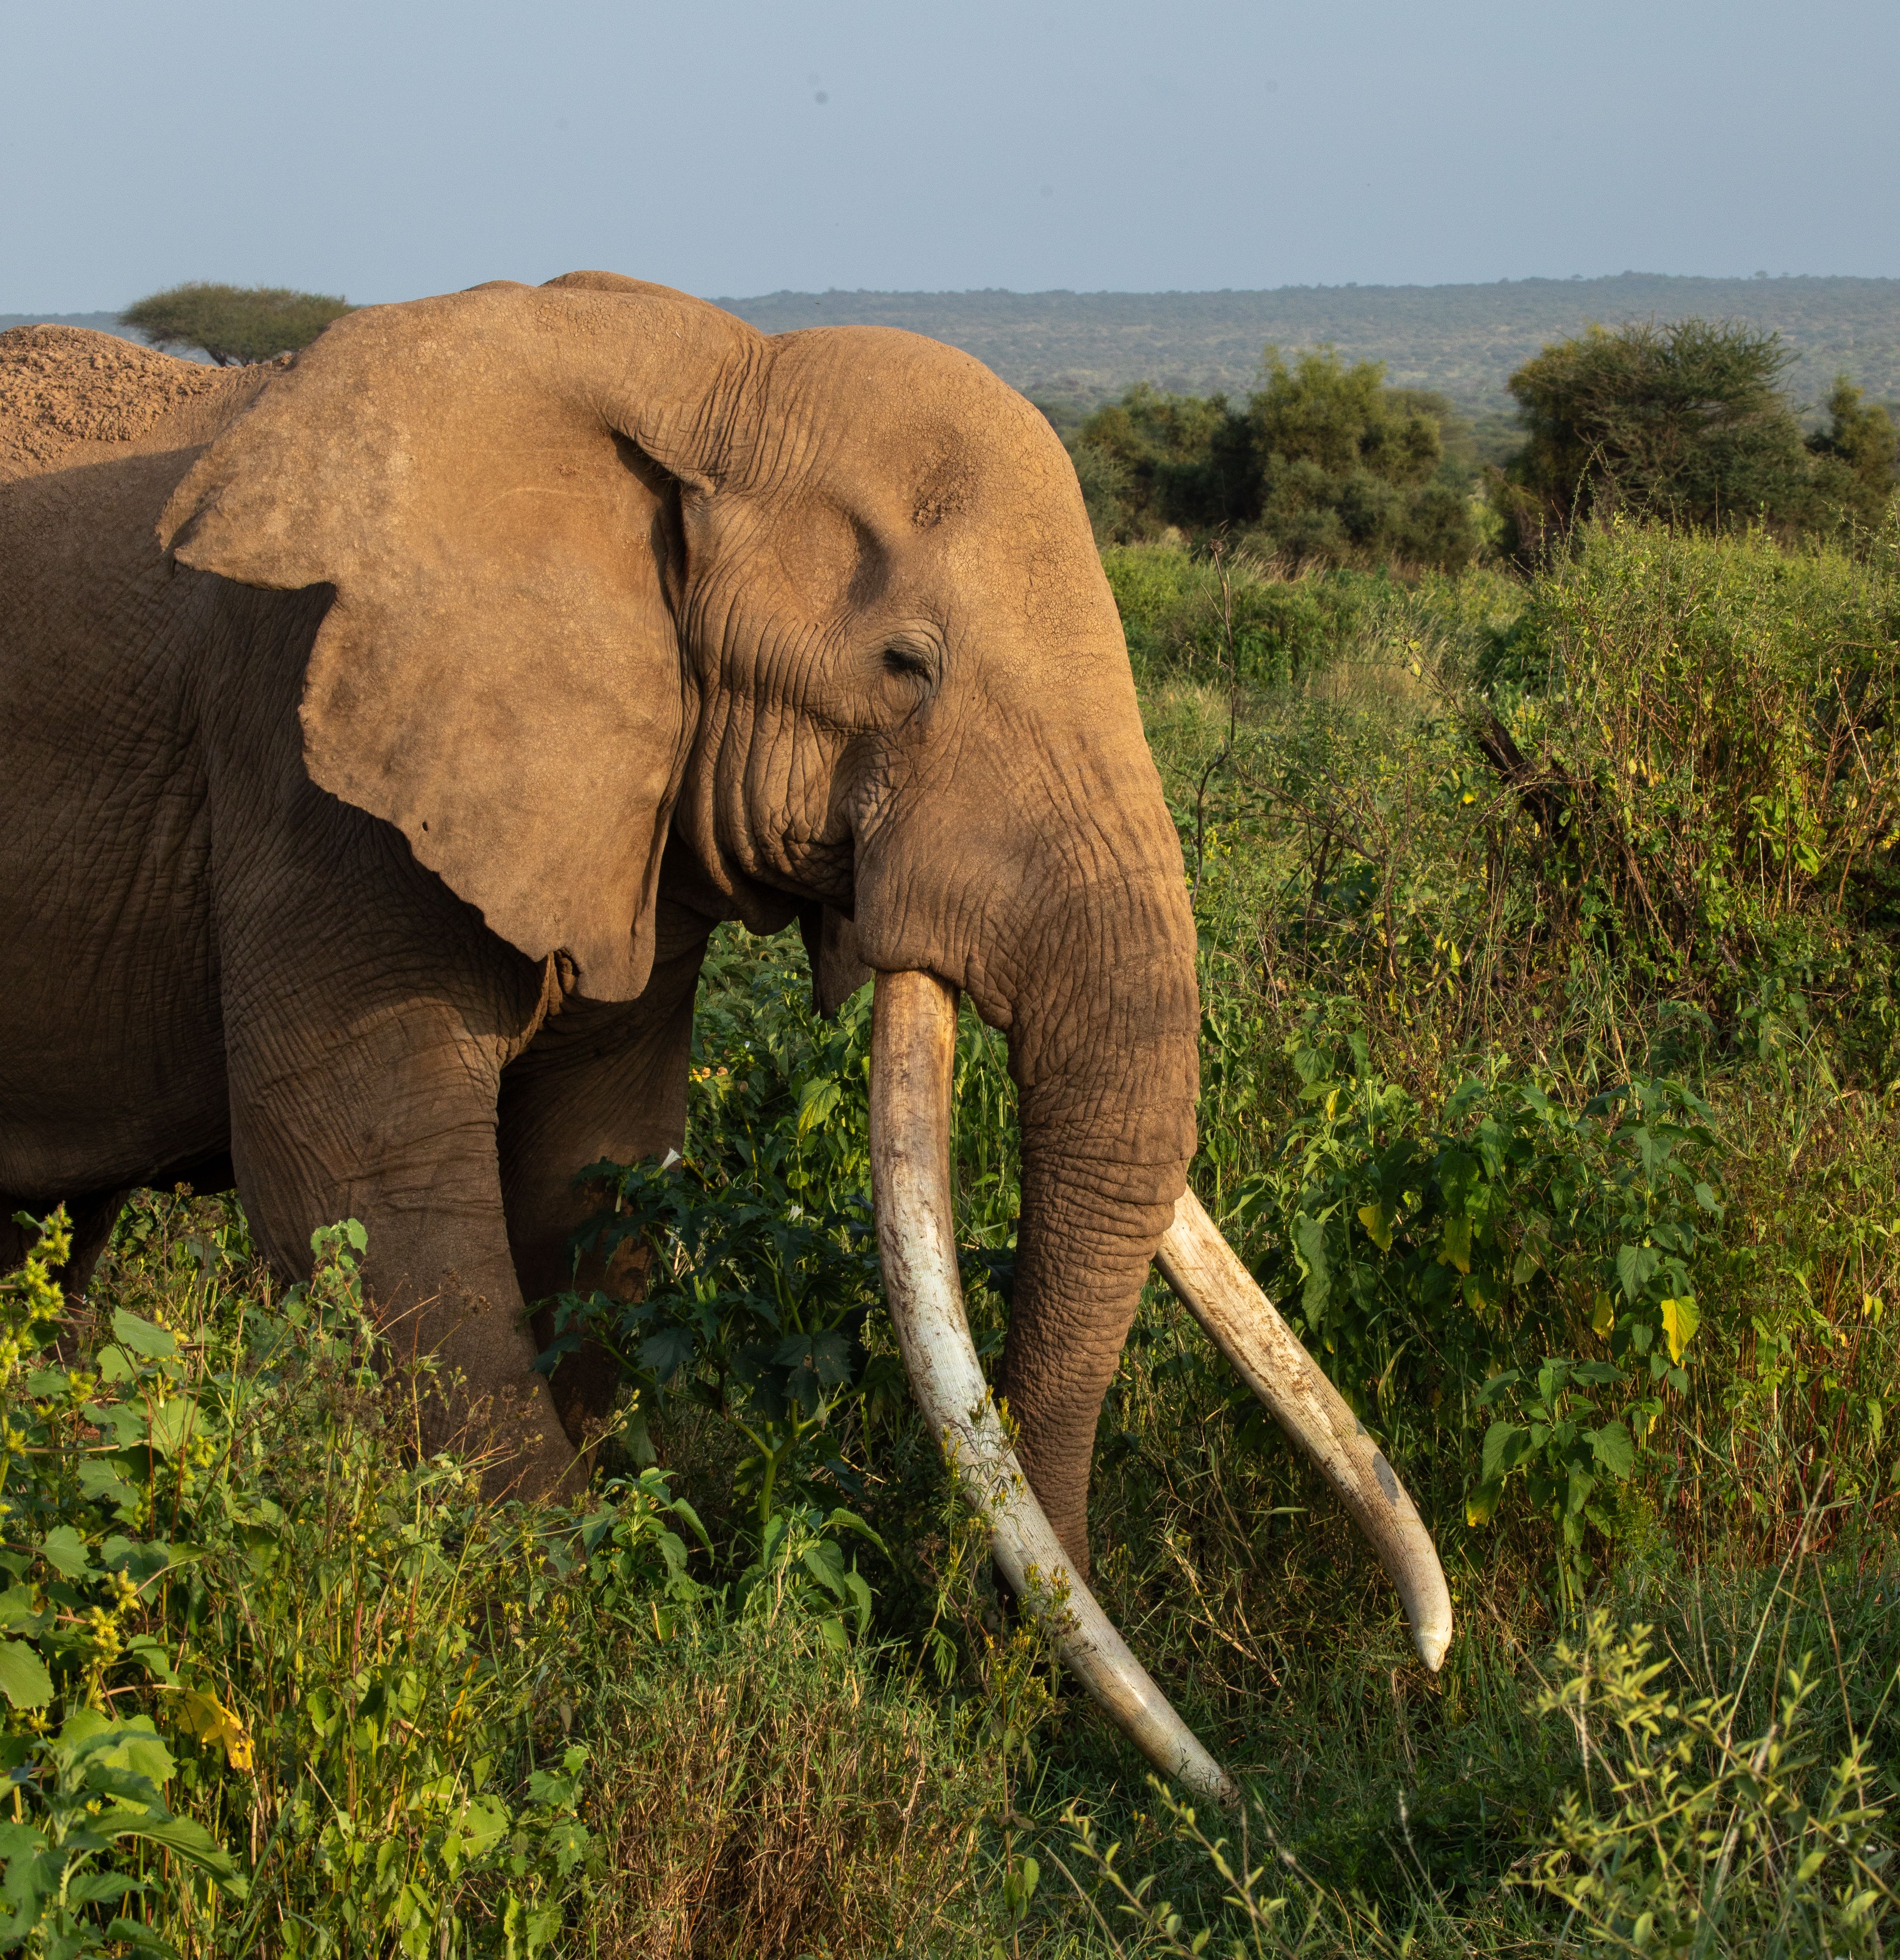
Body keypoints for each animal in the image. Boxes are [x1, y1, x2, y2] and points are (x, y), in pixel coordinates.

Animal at [0, 277, 1448, 1796]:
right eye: (903, 666)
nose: (1417, 1662)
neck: (707, 385)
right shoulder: (308, 753)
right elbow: (369, 1204)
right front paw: (581, 1637)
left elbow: (591, 1180)